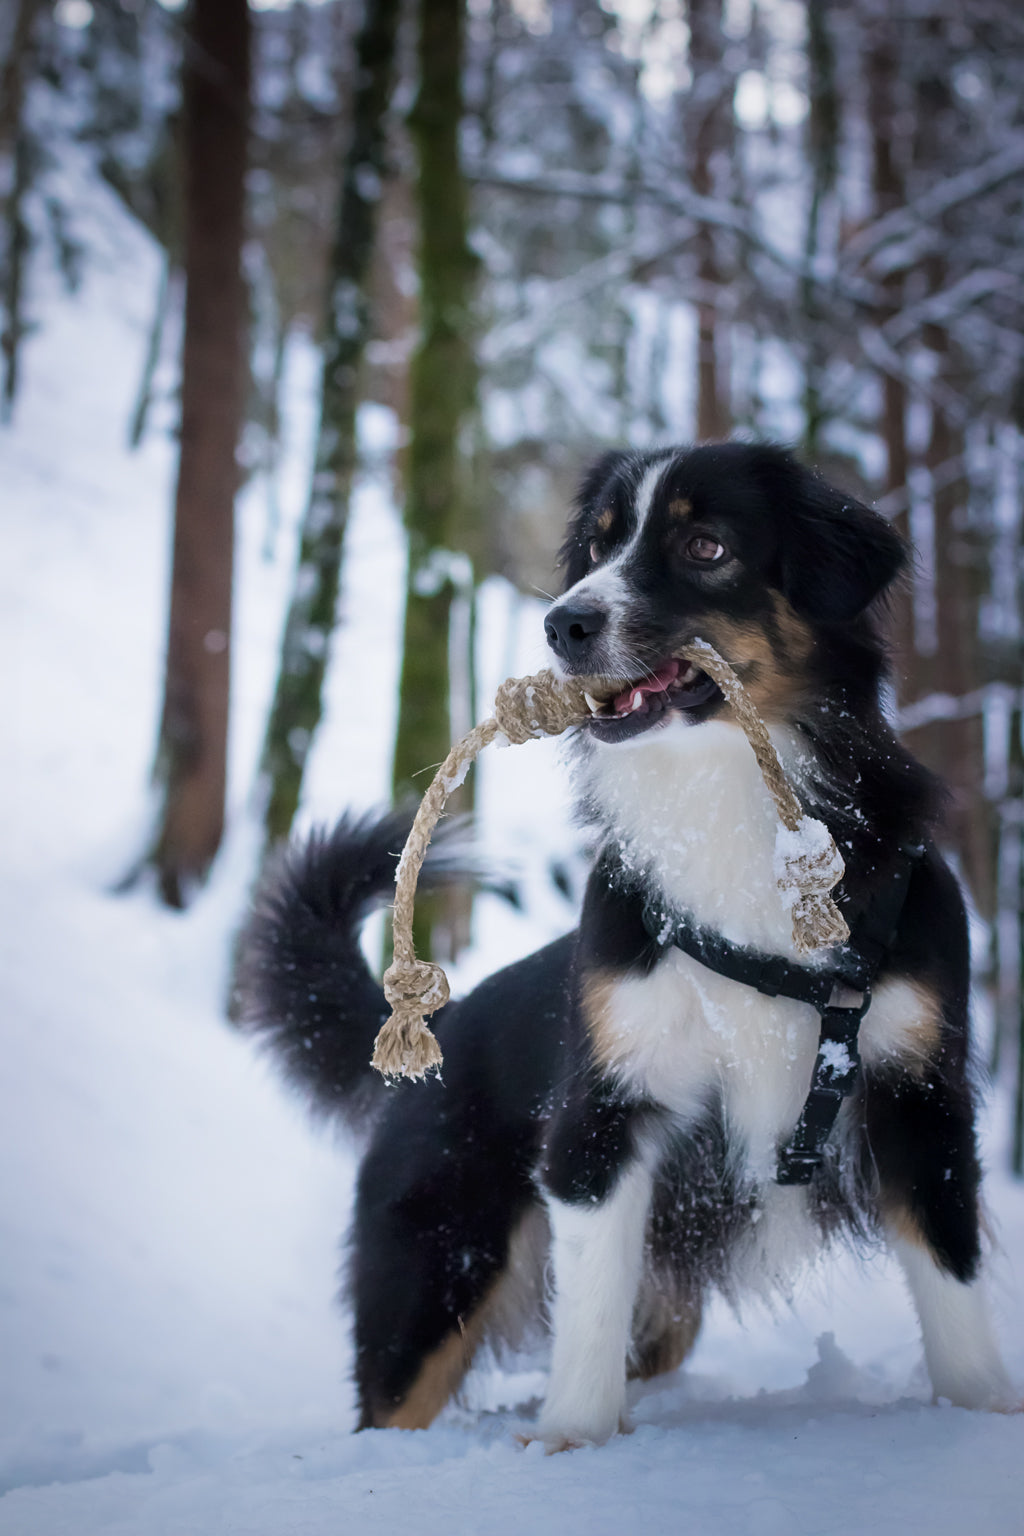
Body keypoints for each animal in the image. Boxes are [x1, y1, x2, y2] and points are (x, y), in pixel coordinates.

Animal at [241, 439, 1019, 1443]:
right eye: (600, 547)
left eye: (704, 545)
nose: (561, 624)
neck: (725, 800)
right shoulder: (605, 1111)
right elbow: (591, 1311)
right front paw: (571, 1437)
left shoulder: (920, 1095)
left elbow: (955, 1289)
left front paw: (981, 1413)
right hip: (431, 1276)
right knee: (400, 1397)